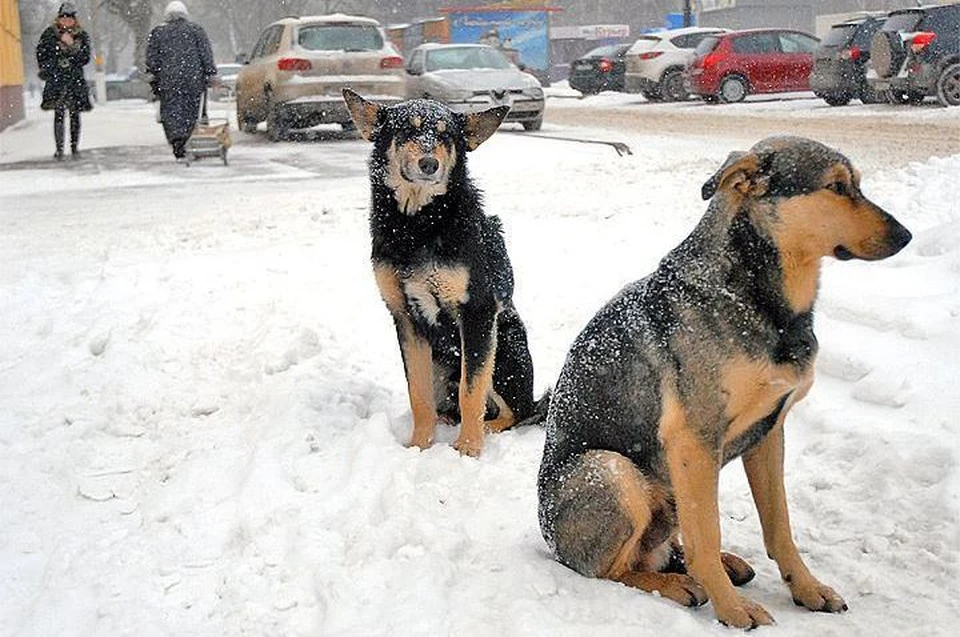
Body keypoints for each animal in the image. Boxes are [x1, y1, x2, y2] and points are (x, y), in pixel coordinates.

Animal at [344, 89, 548, 458]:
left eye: (445, 136)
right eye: (407, 131)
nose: (429, 164)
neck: (417, 226)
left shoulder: (477, 312)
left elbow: (471, 391)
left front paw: (468, 449)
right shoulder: (406, 318)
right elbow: (419, 395)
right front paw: (419, 445)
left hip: (504, 347)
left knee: (517, 411)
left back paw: (484, 429)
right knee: (448, 404)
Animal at [536, 137, 912, 628]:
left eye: (859, 185)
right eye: (836, 187)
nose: (906, 236)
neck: (754, 293)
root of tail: (549, 540)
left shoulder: (769, 435)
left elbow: (780, 527)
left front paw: (806, 588)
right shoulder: (694, 440)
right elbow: (707, 537)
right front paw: (732, 609)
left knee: (663, 549)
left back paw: (712, 566)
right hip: (612, 470)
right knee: (611, 569)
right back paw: (675, 585)